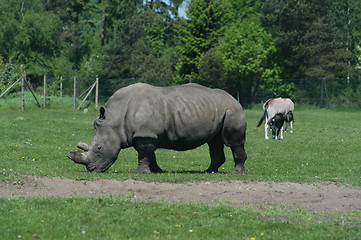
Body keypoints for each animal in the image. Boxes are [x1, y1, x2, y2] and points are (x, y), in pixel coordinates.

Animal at [66, 83, 246, 173]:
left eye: (99, 148)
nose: (91, 169)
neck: (115, 119)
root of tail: (235, 99)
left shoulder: (146, 134)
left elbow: (144, 153)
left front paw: (141, 173)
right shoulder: (145, 134)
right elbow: (149, 154)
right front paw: (157, 171)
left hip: (232, 111)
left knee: (233, 142)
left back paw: (236, 172)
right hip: (218, 109)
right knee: (214, 142)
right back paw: (209, 172)